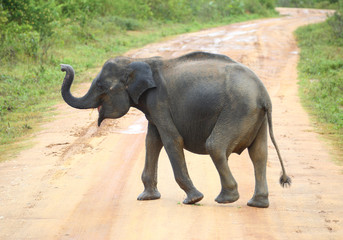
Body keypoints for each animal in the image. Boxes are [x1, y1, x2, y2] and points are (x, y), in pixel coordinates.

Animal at [60, 51, 292, 208]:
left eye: (100, 86)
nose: (63, 66)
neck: (137, 60)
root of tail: (263, 95)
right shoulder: (152, 106)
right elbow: (152, 141)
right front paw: (147, 198)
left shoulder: (158, 101)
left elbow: (171, 140)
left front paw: (194, 199)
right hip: (254, 116)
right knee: (259, 153)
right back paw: (257, 203)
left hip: (238, 110)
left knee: (215, 146)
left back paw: (225, 199)